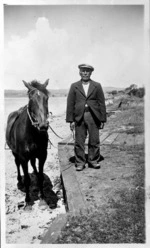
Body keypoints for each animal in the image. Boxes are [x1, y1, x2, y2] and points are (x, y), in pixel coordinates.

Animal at [5, 79, 49, 209]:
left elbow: (40, 176)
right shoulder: (23, 158)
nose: (43, 125)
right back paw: (20, 181)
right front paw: (28, 201)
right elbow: (28, 179)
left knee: (33, 164)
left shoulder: (42, 155)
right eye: (31, 99)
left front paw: (42, 198)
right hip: (15, 153)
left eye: (46, 98)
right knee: (17, 164)